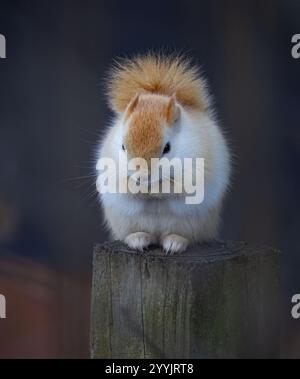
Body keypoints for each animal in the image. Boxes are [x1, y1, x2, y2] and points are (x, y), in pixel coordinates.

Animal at [97, 53, 231, 254]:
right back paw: (138, 239)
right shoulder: (111, 169)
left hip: (191, 224)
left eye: (167, 148)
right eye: (123, 146)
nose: (141, 177)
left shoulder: (197, 170)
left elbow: (177, 187)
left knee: (183, 236)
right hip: (126, 221)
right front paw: (136, 187)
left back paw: (175, 243)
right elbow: (121, 185)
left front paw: (157, 190)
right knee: (136, 234)